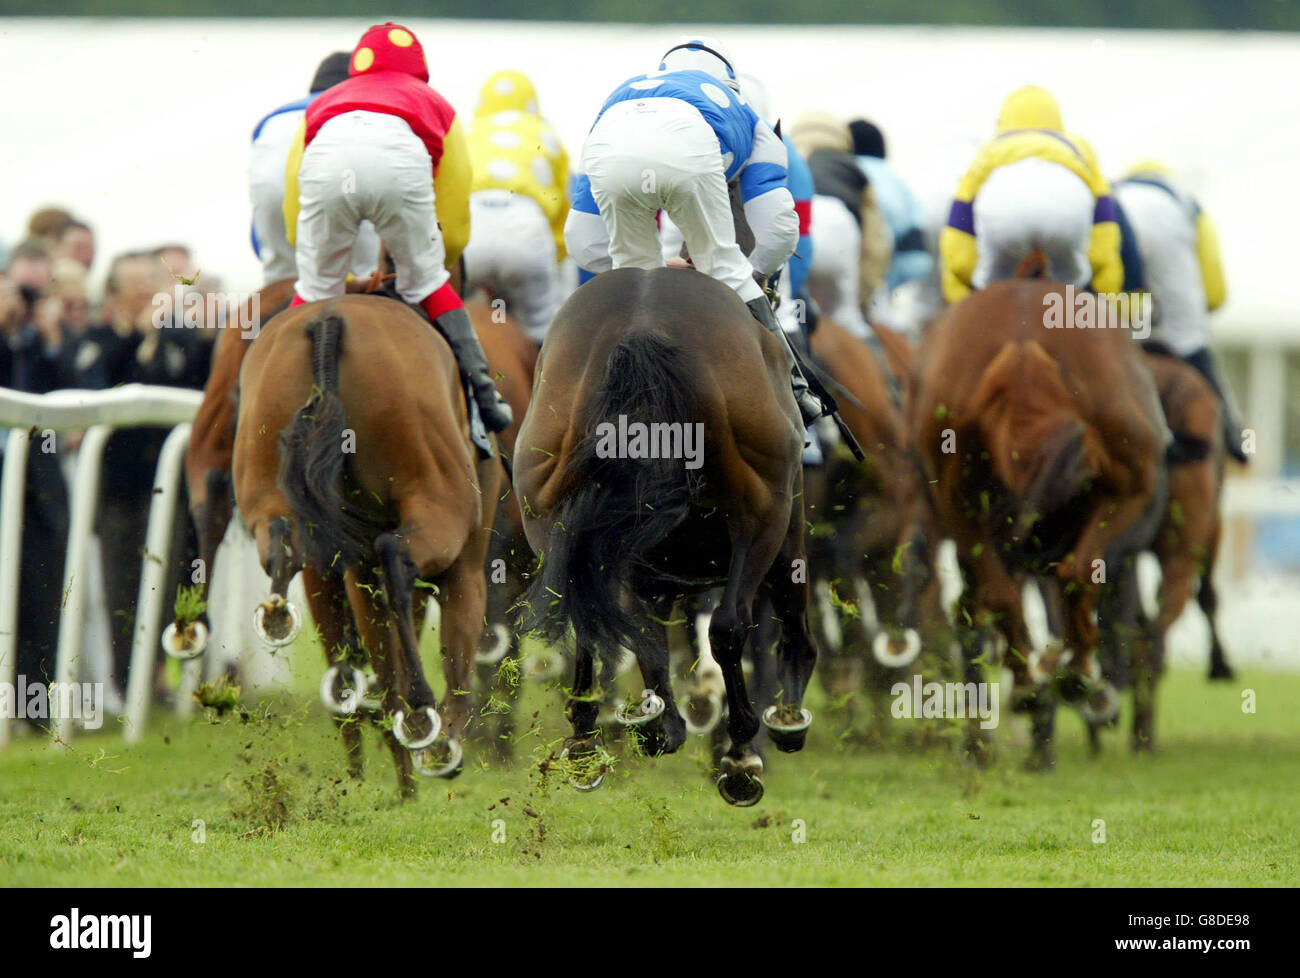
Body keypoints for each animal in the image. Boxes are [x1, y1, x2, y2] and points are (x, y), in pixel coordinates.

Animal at [231, 293, 499, 795]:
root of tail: (328, 322)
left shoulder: (355, 567)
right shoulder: (466, 562)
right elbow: (457, 647)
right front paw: (442, 746)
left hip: (264, 477)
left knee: (283, 544)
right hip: (441, 504)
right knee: (397, 560)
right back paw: (422, 714)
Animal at [512, 265, 816, 801]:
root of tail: (642, 326)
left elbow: (637, 626)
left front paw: (652, 721)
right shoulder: (781, 514)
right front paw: (780, 716)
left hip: (547, 504)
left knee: (582, 607)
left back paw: (595, 737)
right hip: (765, 511)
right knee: (731, 623)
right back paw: (741, 751)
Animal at [909, 269, 1164, 769]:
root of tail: (1024, 341)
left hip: (960, 502)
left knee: (999, 596)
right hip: (1123, 486)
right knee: (1066, 578)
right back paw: (1068, 677)